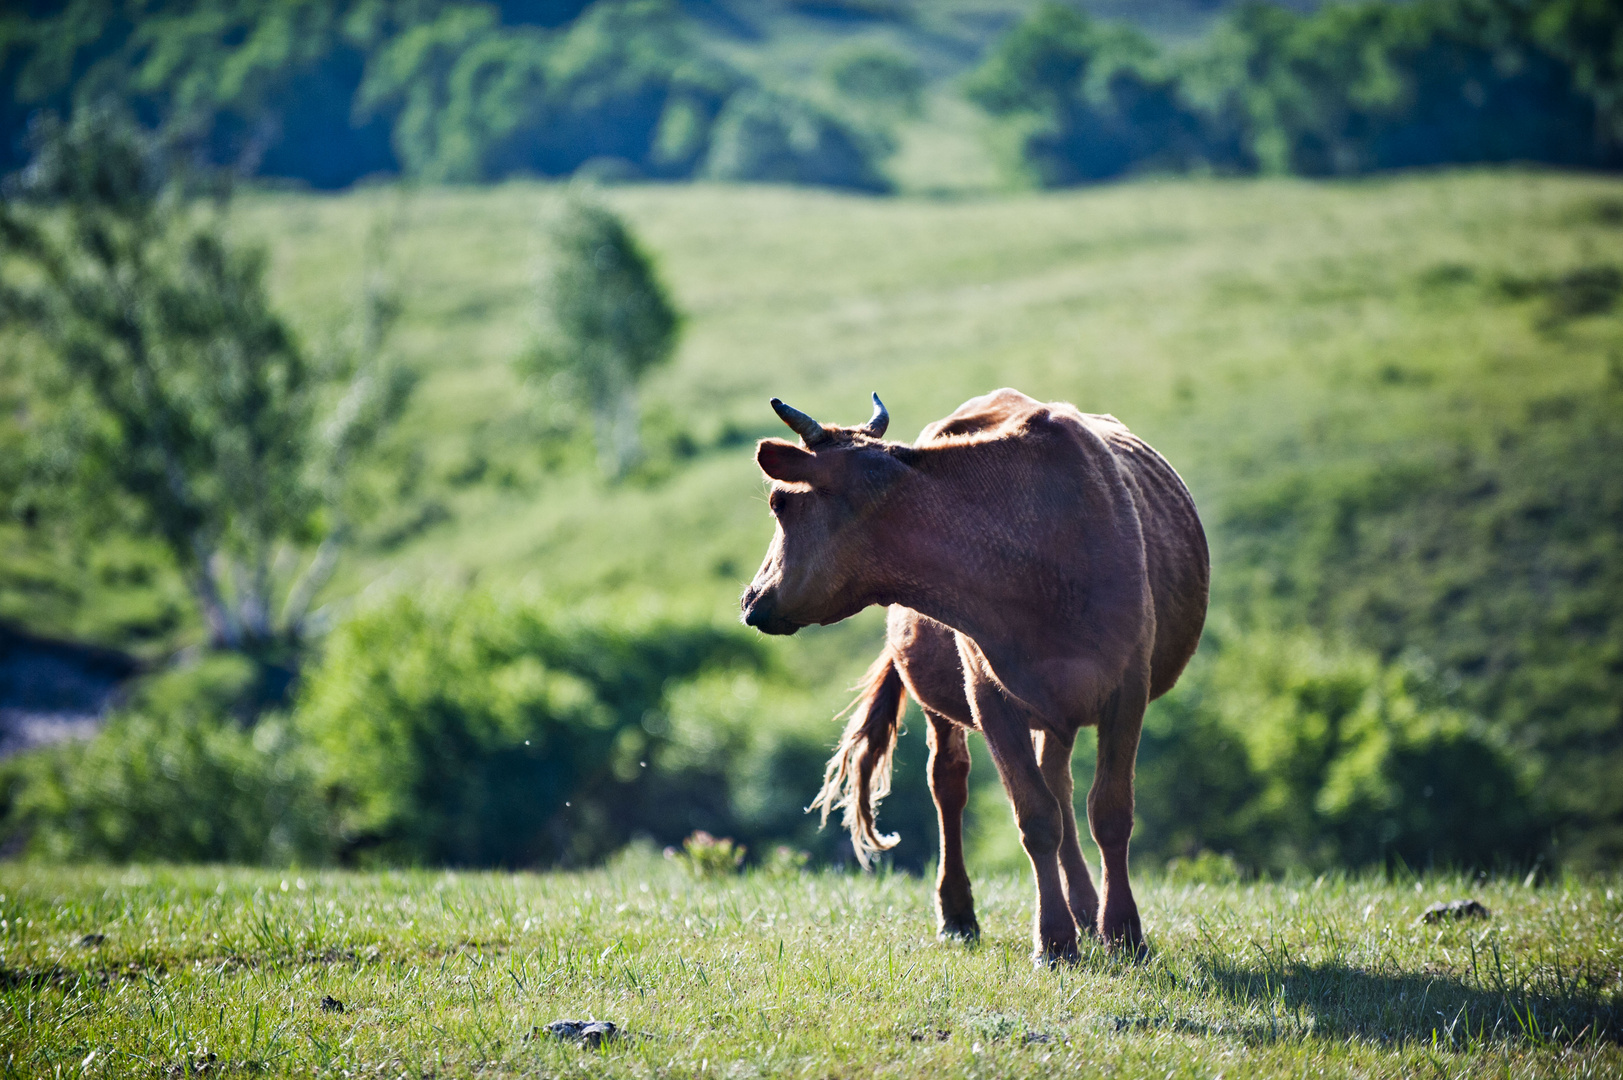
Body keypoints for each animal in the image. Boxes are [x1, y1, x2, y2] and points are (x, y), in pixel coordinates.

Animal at [743, 388, 1207, 961]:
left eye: (779, 503)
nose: (751, 598)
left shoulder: (1129, 686)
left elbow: (1110, 811)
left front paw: (1122, 931)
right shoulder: (989, 695)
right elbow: (1035, 817)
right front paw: (1055, 941)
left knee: (1059, 780)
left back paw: (1086, 907)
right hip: (943, 699)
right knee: (951, 781)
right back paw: (959, 913)